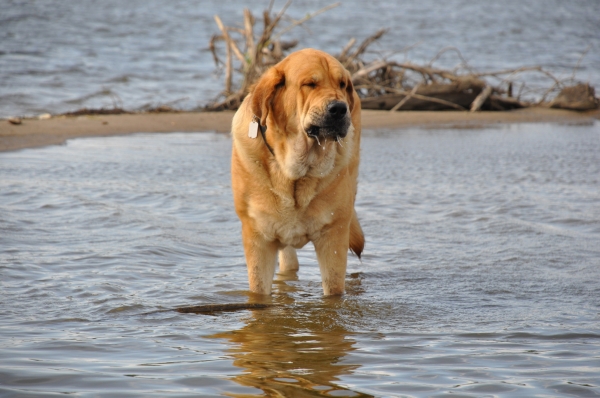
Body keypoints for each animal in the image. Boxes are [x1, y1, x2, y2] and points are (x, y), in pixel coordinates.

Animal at [231, 48, 364, 296]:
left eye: (342, 84)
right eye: (310, 84)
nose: (340, 108)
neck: (295, 173)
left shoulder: (333, 236)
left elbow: (334, 292)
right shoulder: (258, 238)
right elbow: (259, 291)